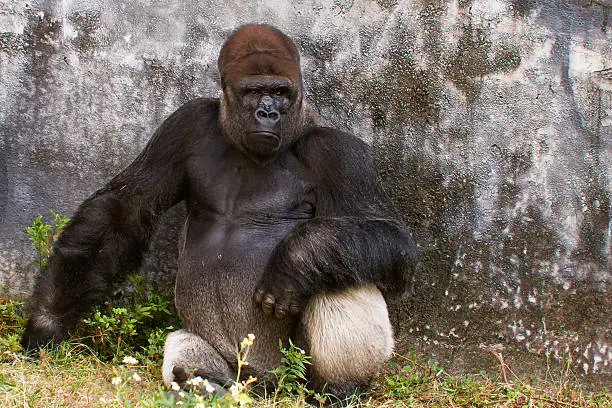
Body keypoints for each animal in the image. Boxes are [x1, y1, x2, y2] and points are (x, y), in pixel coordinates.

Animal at [21, 23, 418, 396]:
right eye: (254, 92)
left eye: (281, 92)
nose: (267, 113)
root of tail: (263, 385)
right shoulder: (185, 124)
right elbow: (126, 209)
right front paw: (46, 321)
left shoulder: (339, 153)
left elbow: (393, 242)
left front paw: (298, 259)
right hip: (240, 372)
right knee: (187, 347)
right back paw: (207, 383)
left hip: (293, 377)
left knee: (343, 274)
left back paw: (340, 389)